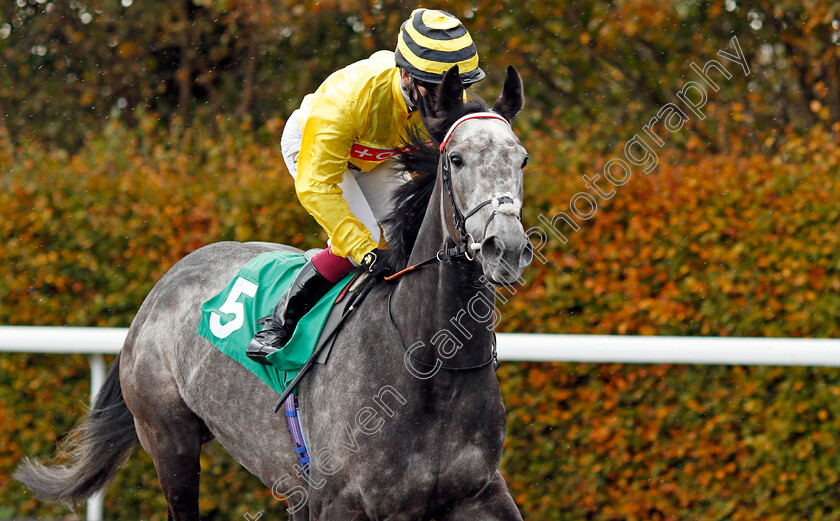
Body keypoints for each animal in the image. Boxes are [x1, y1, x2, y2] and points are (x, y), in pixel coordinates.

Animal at [16, 65, 532, 520]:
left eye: (521, 158)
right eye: (456, 159)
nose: (505, 247)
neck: (429, 366)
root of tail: (164, 284)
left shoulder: (481, 491)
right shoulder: (338, 501)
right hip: (169, 441)